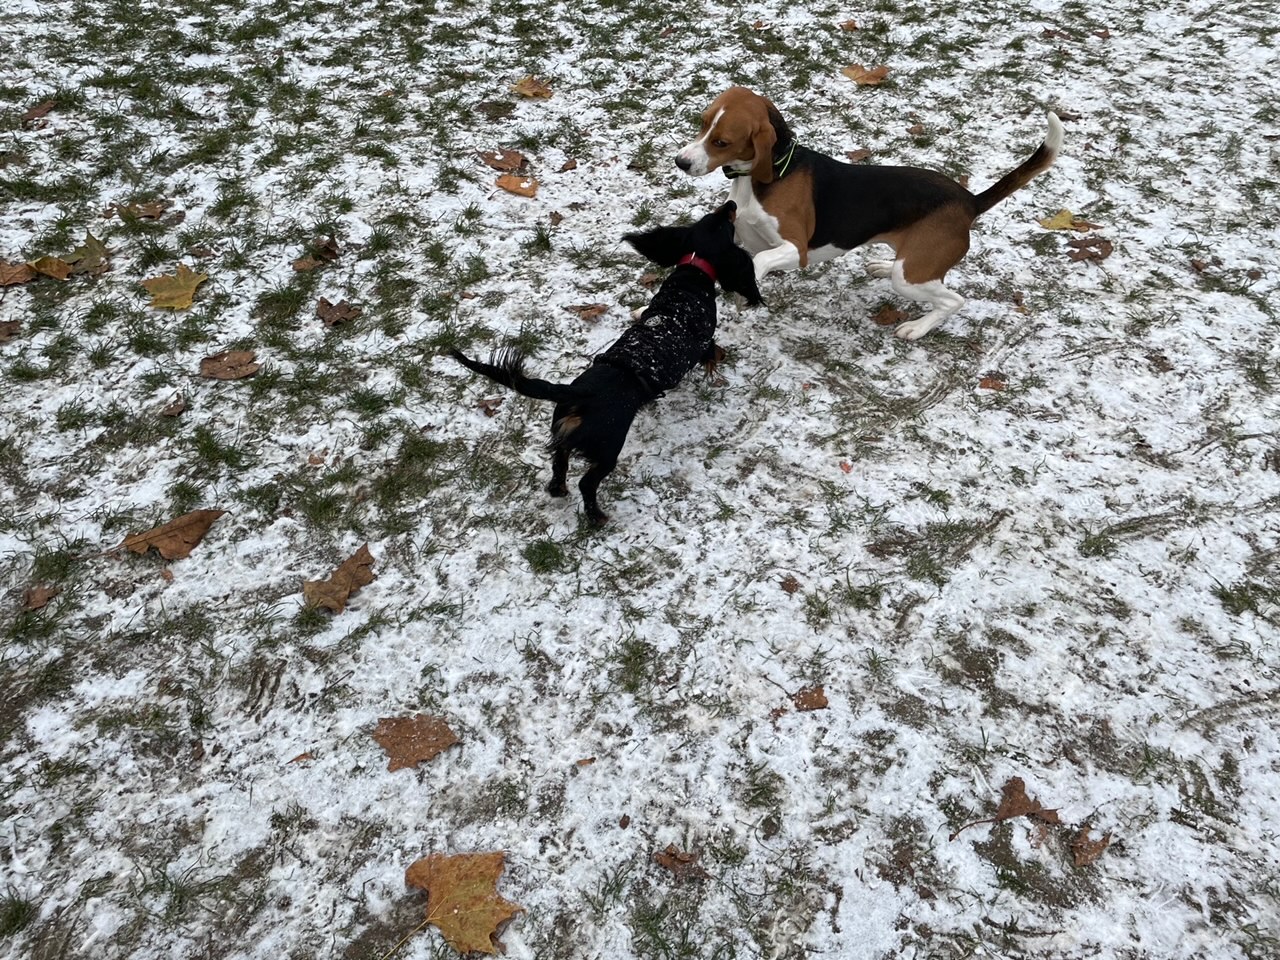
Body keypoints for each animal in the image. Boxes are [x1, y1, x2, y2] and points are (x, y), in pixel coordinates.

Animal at [450, 202, 757, 527]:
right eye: (727, 224)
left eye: (712, 215)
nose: (731, 204)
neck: (692, 274)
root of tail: (578, 394)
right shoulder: (704, 342)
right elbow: (714, 352)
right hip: (608, 447)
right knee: (587, 482)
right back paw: (597, 516)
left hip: (564, 434)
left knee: (559, 463)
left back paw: (558, 490)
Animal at [675, 86, 1064, 340]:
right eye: (702, 122)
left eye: (721, 142)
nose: (681, 162)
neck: (767, 174)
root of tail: (969, 200)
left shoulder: (795, 249)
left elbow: (760, 260)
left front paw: (747, 284)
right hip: (911, 264)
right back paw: (881, 266)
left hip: (910, 278)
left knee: (954, 299)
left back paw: (917, 328)